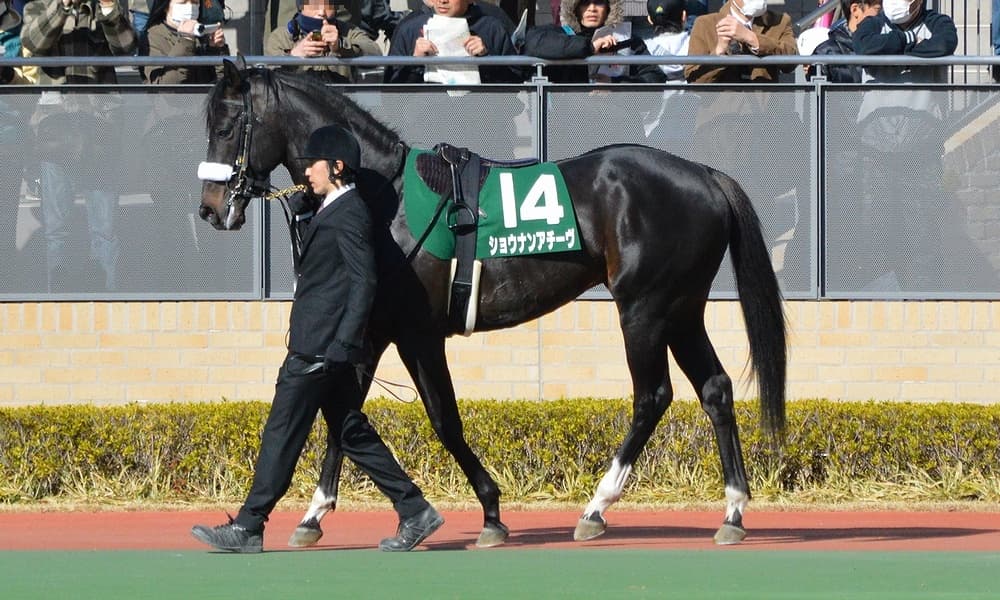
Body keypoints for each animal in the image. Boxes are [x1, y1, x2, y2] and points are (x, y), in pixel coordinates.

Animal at [198, 59, 786, 548]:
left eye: (225, 127)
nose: (210, 209)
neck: (385, 198)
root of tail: (705, 175)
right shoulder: (367, 331)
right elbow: (344, 413)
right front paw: (312, 515)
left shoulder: (415, 334)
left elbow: (443, 419)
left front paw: (490, 513)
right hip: (681, 310)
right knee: (715, 389)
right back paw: (733, 511)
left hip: (644, 309)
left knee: (652, 396)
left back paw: (596, 508)